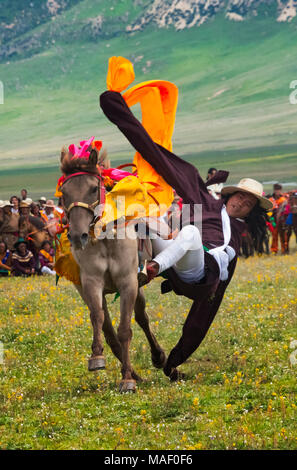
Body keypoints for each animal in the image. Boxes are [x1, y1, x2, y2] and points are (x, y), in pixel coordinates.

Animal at [59, 145, 165, 392]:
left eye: (92, 188)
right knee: (108, 328)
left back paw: (158, 359)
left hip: (137, 285)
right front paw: (97, 357)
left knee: (142, 319)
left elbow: (125, 330)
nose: (77, 236)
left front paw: (126, 380)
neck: (106, 239)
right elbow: (99, 320)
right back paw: (135, 372)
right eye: (64, 193)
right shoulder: (91, 283)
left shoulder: (128, 283)